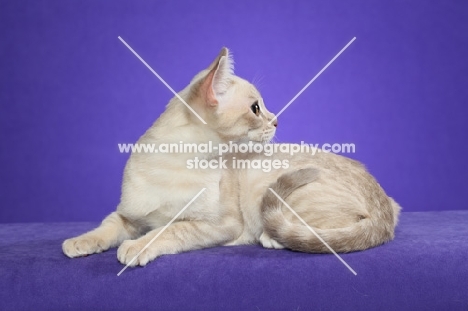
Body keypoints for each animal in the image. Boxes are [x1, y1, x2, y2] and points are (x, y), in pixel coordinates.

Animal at [62, 47, 400, 266]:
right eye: (256, 108)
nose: (276, 120)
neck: (173, 165)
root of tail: (384, 204)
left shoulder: (220, 225)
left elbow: (170, 228)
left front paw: (136, 247)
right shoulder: (130, 215)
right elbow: (107, 226)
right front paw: (80, 242)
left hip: (266, 187)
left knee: (320, 232)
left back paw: (272, 238)